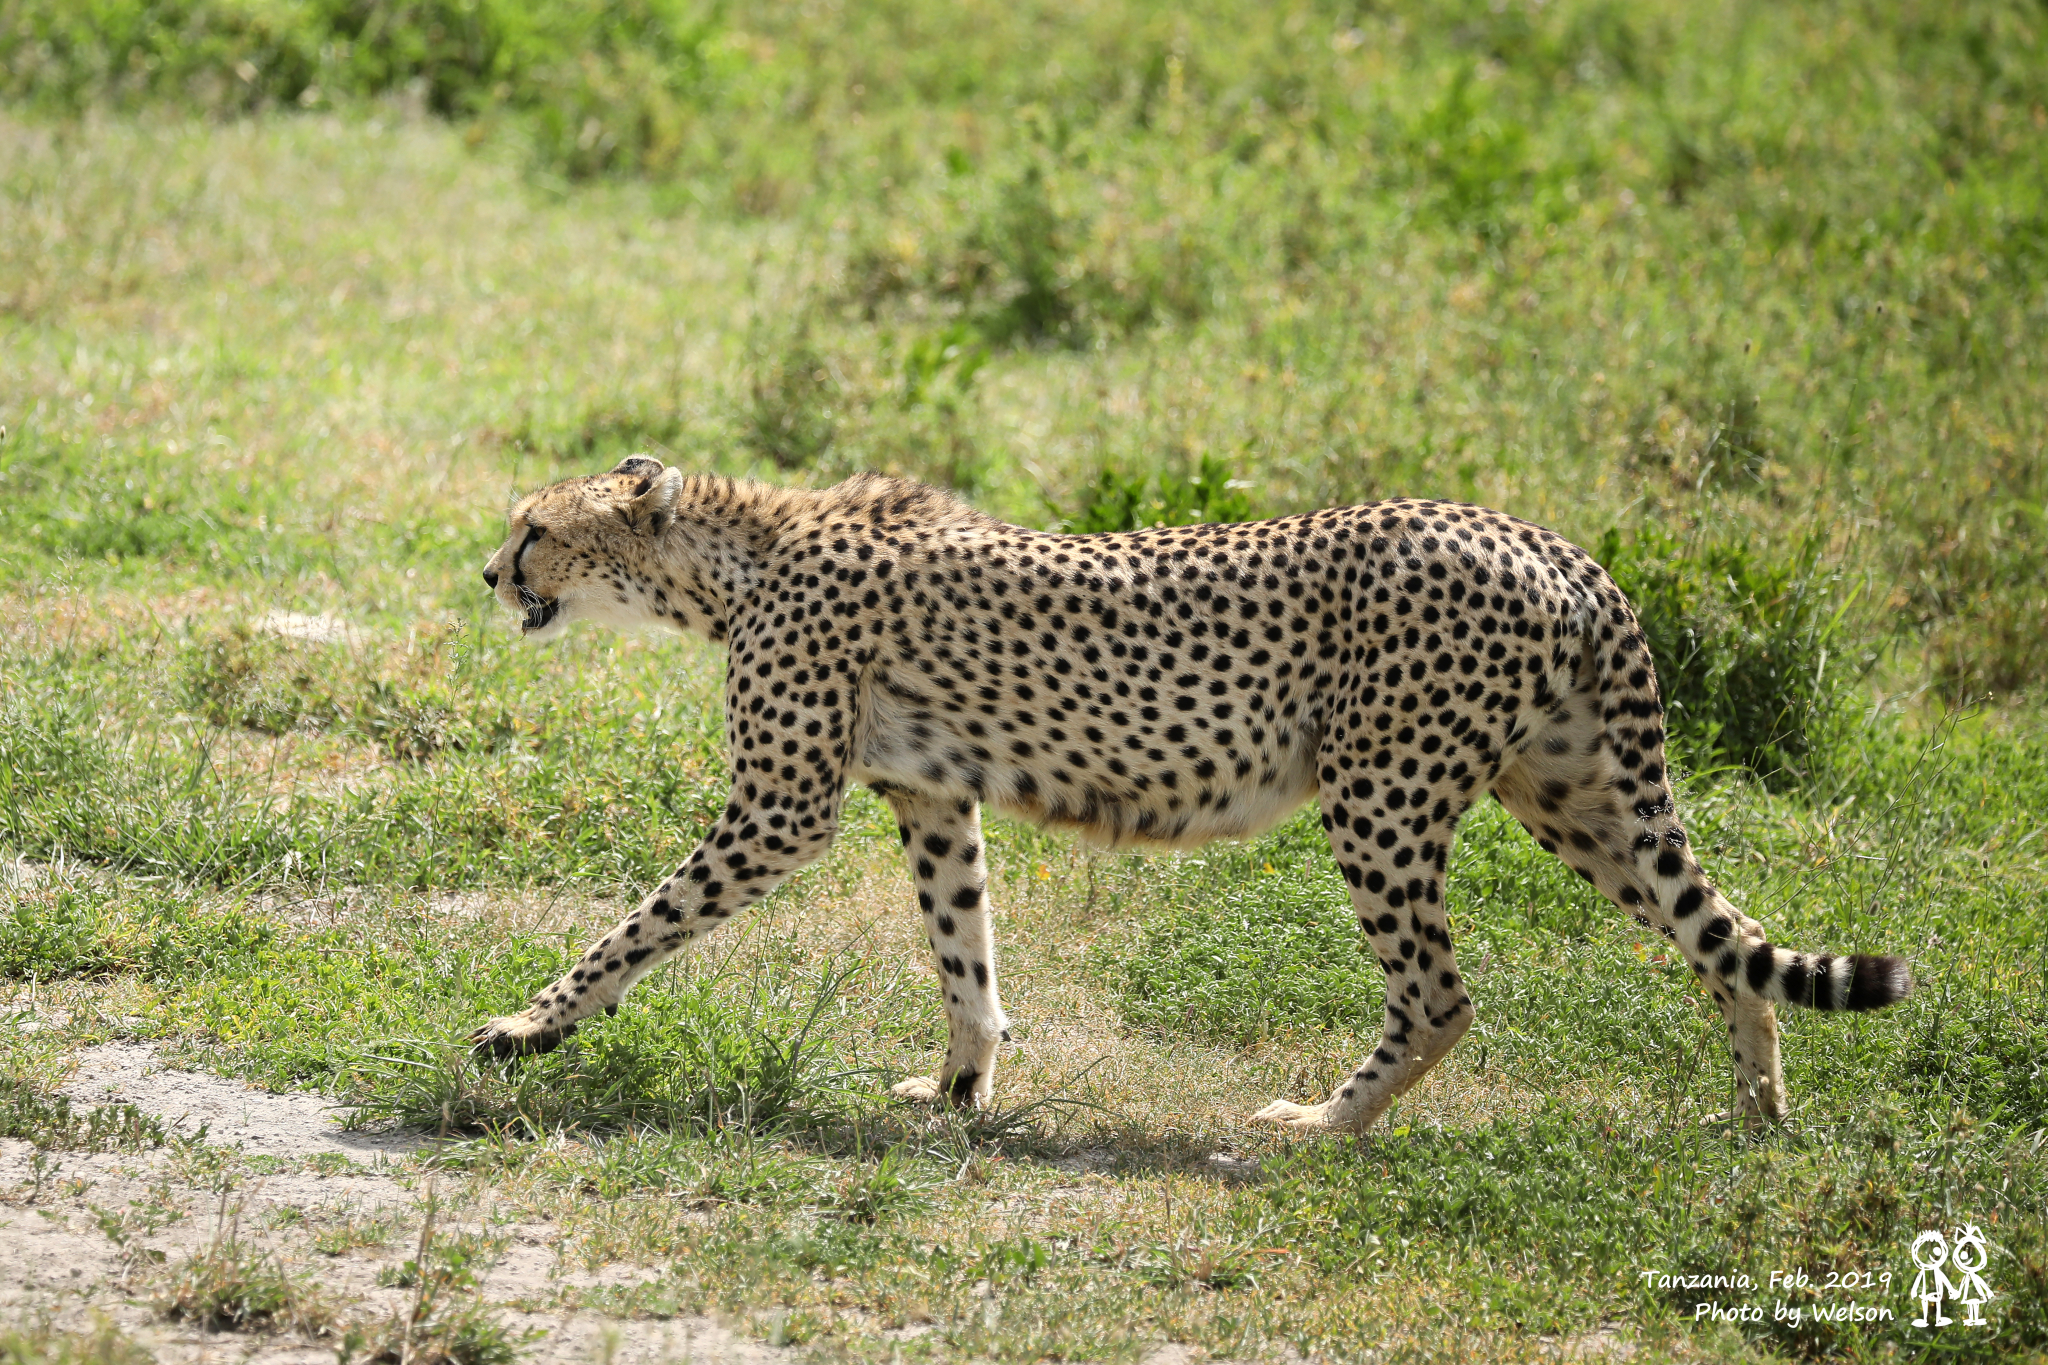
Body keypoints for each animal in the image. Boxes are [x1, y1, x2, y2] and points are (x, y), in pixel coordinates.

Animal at [471, 458, 1908, 1129]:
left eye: (536, 527)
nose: (488, 575)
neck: (734, 557)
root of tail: (1551, 540)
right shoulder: (933, 798)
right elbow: (964, 951)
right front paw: (960, 1088)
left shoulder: (781, 808)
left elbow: (638, 923)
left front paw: (526, 1026)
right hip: (1572, 793)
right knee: (1725, 938)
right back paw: (1756, 1115)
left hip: (1382, 794)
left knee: (1439, 995)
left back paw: (1318, 1124)